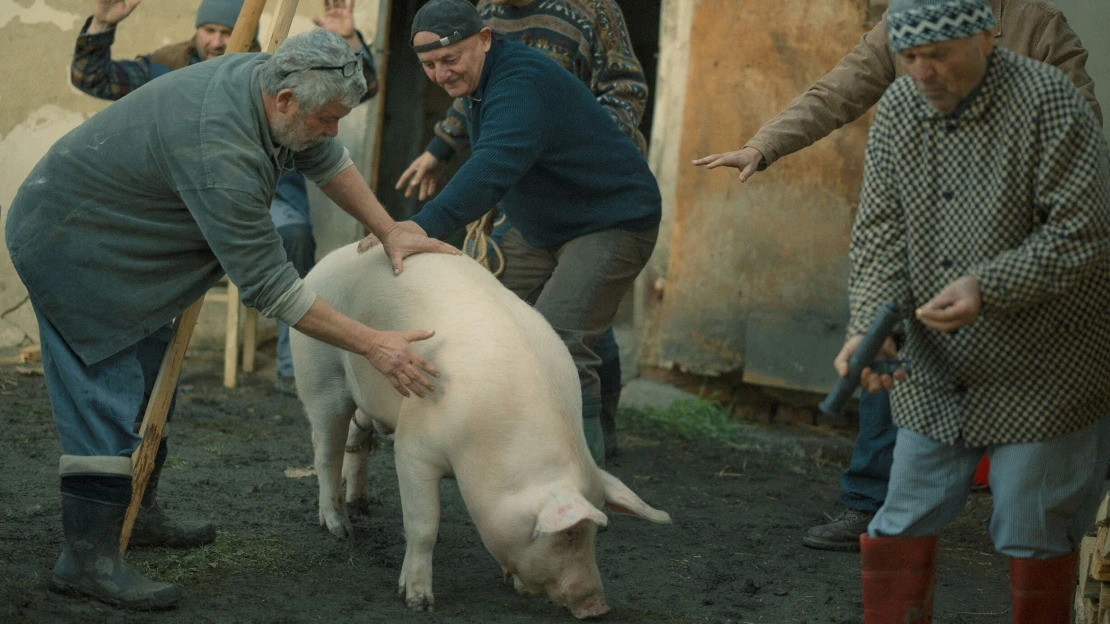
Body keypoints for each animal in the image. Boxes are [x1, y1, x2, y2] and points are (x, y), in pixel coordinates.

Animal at [288, 243, 666, 617]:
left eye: (597, 533)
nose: (598, 606)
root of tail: (332, 257)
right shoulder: (413, 448)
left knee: (356, 437)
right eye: (568, 534)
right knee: (325, 451)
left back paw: (361, 503)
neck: (492, 446)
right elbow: (423, 525)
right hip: (319, 374)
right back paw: (340, 528)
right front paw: (418, 602)